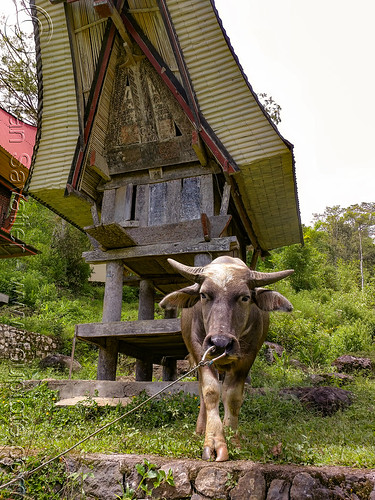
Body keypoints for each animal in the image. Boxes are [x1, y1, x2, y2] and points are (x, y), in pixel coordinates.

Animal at [160, 256, 296, 462]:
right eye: (203, 295)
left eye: (245, 297)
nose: (220, 343)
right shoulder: (200, 352)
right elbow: (210, 391)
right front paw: (214, 441)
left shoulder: (247, 357)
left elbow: (232, 397)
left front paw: (232, 438)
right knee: (202, 393)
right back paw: (201, 429)